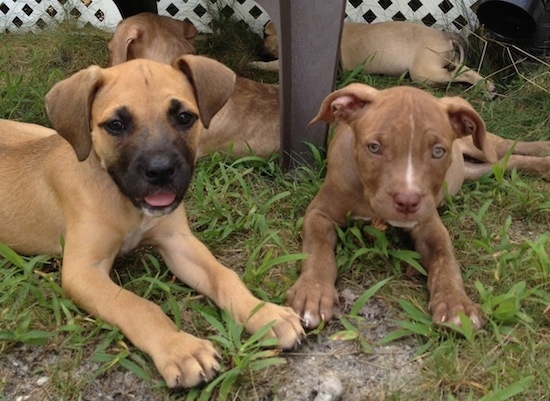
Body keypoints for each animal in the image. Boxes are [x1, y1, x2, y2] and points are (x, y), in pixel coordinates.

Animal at [0, 55, 304, 388]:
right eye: (116, 125)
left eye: (184, 117)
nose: (161, 171)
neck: (124, 199)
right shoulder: (82, 272)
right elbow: (137, 306)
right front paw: (180, 349)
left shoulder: (178, 242)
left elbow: (224, 276)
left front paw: (265, 314)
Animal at [256, 20, 498, 92]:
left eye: (265, 34)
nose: (259, 50)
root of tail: (444, 35)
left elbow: (275, 65)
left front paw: (257, 63)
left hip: (424, 71)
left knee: (462, 73)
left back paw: (486, 86)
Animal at [288, 83, 548, 330]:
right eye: (374, 148)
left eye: (438, 152)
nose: (407, 200)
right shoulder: (319, 213)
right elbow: (317, 250)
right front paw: (312, 293)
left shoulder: (429, 224)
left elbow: (445, 259)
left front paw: (456, 304)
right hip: (474, 170)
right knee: (505, 162)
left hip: (479, 145)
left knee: (508, 147)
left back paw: (543, 151)